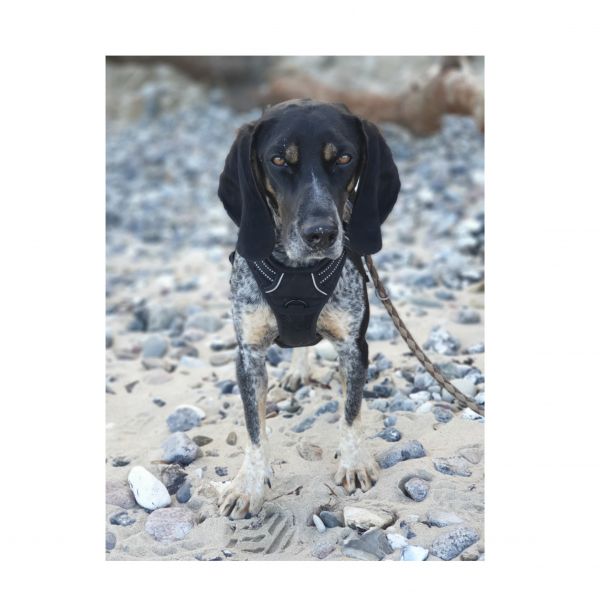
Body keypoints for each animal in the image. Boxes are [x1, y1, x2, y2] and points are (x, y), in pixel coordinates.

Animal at [217, 99, 400, 519]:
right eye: (278, 160)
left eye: (345, 158)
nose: (321, 234)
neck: (298, 272)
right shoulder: (248, 354)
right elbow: (254, 429)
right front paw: (248, 484)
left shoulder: (354, 347)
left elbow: (351, 413)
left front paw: (353, 462)